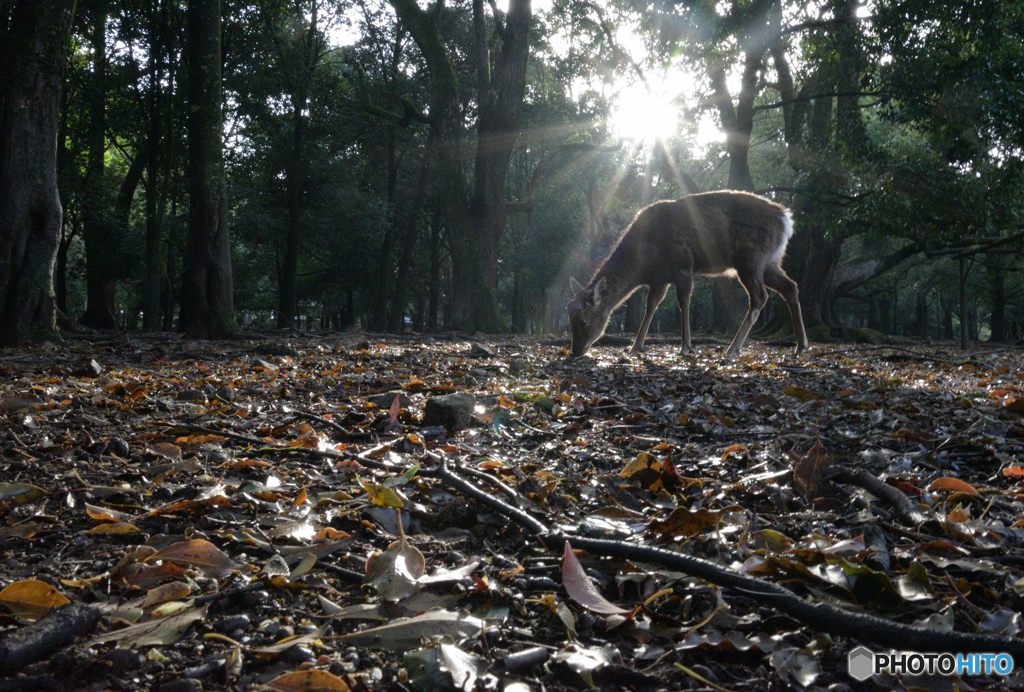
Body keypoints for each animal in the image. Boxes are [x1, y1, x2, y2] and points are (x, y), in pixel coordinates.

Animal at [569, 191, 806, 360]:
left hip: (751, 258)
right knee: (791, 286)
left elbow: (683, 302)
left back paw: (732, 350)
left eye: (582, 321)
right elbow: (650, 307)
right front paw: (635, 347)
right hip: (770, 262)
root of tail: (787, 221)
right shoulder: (659, 279)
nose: (575, 351)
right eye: (569, 317)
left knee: (760, 296)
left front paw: (685, 347)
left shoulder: (683, 263)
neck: (644, 263)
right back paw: (800, 346)